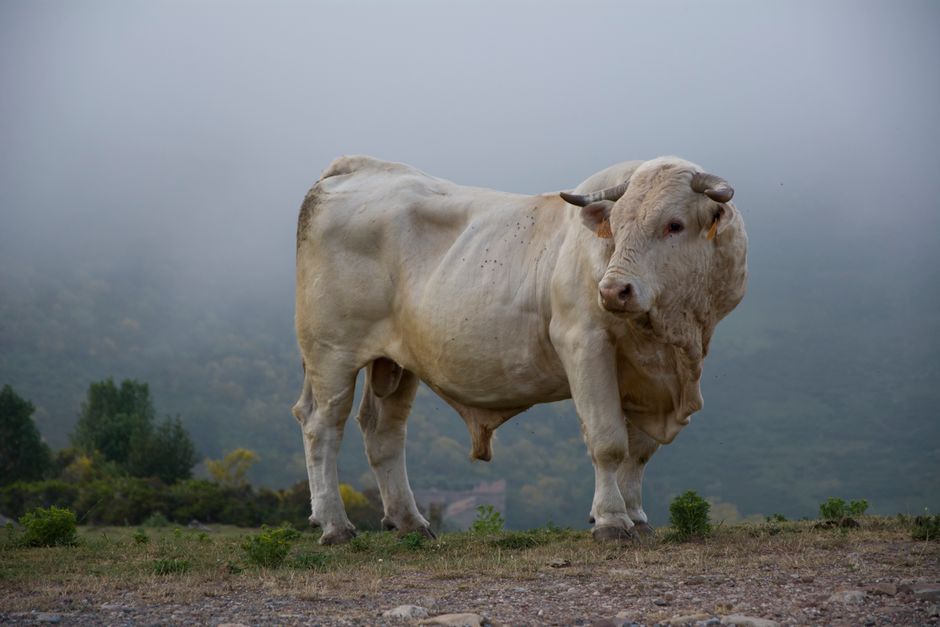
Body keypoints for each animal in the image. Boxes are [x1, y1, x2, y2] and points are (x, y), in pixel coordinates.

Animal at [293, 155, 748, 544]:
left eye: (674, 224)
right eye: (616, 226)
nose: (612, 290)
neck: (675, 335)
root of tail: (356, 166)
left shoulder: (646, 373)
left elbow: (638, 452)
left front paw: (636, 517)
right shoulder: (584, 342)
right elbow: (608, 441)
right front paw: (612, 520)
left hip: (395, 362)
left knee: (383, 431)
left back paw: (410, 522)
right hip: (330, 352)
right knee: (322, 426)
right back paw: (335, 525)